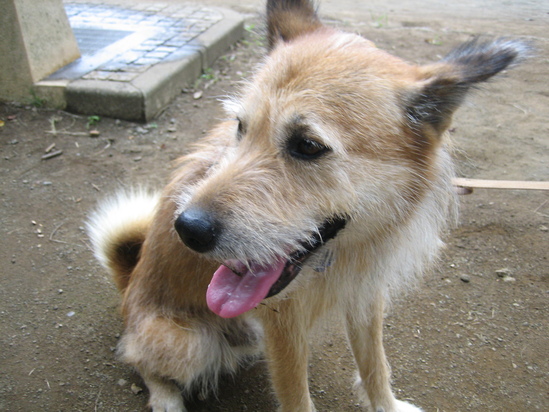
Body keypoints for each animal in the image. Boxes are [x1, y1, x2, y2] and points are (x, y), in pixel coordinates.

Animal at [86, 0, 528, 412]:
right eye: (240, 127)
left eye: (308, 145)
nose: (186, 229)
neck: (340, 256)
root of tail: (129, 282)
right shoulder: (284, 326)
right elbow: (297, 395)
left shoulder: (367, 299)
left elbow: (376, 366)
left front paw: (385, 404)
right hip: (182, 340)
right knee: (137, 356)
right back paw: (165, 397)